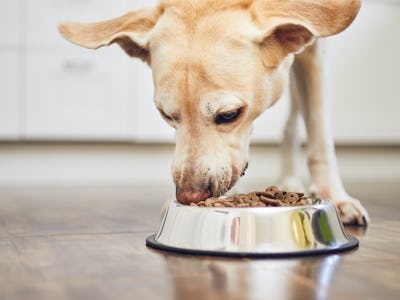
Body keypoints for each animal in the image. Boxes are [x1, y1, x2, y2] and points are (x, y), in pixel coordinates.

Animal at [58, 0, 368, 225]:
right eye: (165, 115)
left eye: (229, 114)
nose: (188, 196)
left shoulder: (316, 50)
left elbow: (319, 134)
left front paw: (334, 197)